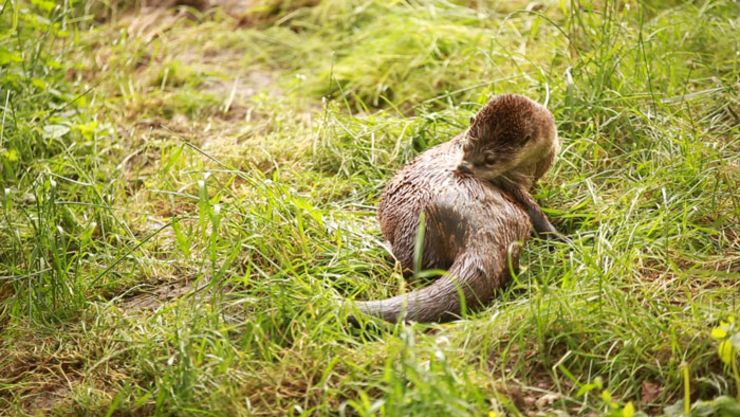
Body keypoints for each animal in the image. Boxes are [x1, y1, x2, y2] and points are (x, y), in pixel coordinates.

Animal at [354, 94, 560, 323]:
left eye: (490, 159)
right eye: (466, 147)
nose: (462, 167)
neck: (533, 164)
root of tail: (478, 222)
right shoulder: (513, 183)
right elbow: (535, 211)